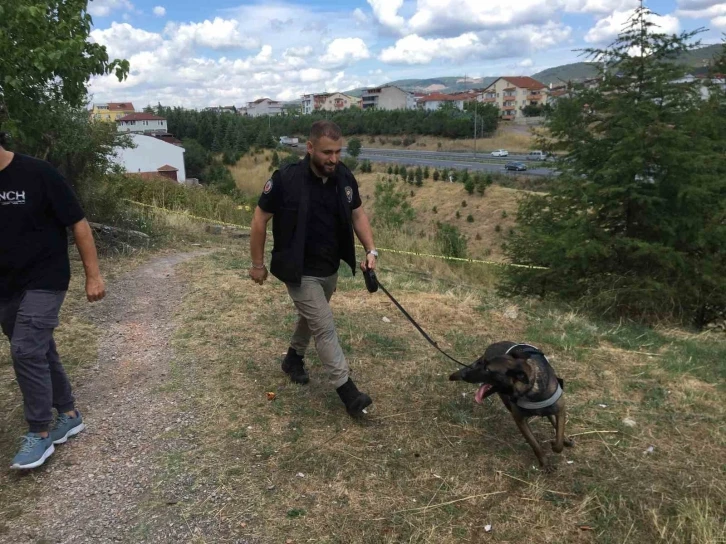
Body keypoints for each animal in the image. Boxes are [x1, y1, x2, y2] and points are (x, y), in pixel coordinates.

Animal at [450, 342, 576, 470]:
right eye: (483, 365)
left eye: (487, 369)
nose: (464, 374)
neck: (531, 388)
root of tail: (493, 344)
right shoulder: (520, 420)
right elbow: (535, 443)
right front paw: (545, 463)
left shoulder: (560, 410)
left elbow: (559, 437)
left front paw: (557, 444)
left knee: (552, 418)